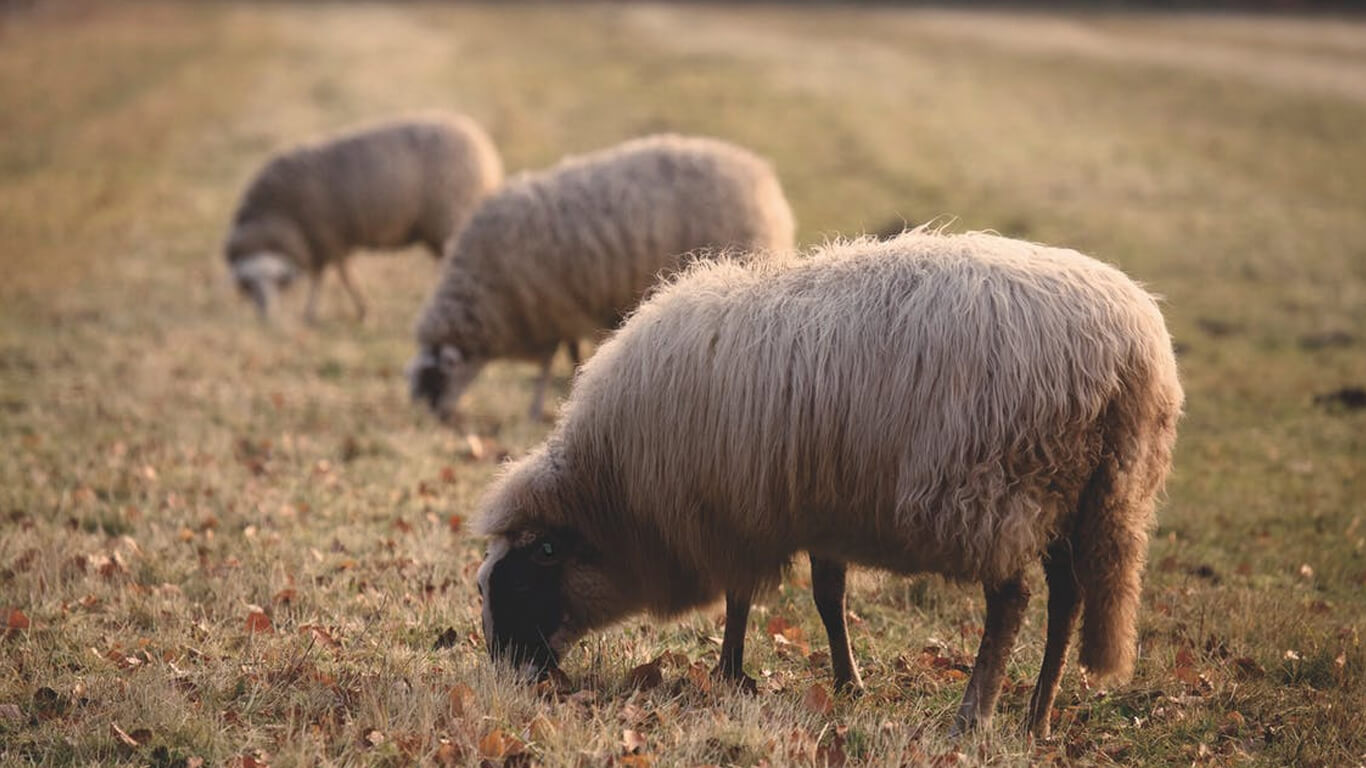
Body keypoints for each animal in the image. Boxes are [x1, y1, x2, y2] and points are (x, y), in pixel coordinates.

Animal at [226, 110, 505, 319]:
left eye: (274, 281)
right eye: (249, 285)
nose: (266, 317)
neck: (277, 214)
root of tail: (486, 150)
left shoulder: (326, 237)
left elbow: (333, 277)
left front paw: (345, 311)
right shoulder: (326, 241)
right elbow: (332, 274)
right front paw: (334, 311)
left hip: (451, 218)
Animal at [404, 133, 797, 418]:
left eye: (436, 378)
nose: (435, 418)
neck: (486, 291)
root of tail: (761, 174)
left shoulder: (551, 306)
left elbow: (549, 361)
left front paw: (539, 405)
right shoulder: (559, 308)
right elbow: (567, 352)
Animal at [475, 228, 1180, 737]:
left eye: (527, 573)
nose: (508, 675)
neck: (618, 495)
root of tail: (1131, 356)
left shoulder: (736, 511)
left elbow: (740, 597)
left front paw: (729, 673)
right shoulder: (812, 507)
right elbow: (826, 597)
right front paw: (846, 683)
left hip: (995, 490)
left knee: (1012, 602)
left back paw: (973, 715)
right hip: (1082, 496)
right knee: (1068, 599)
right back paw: (1037, 717)